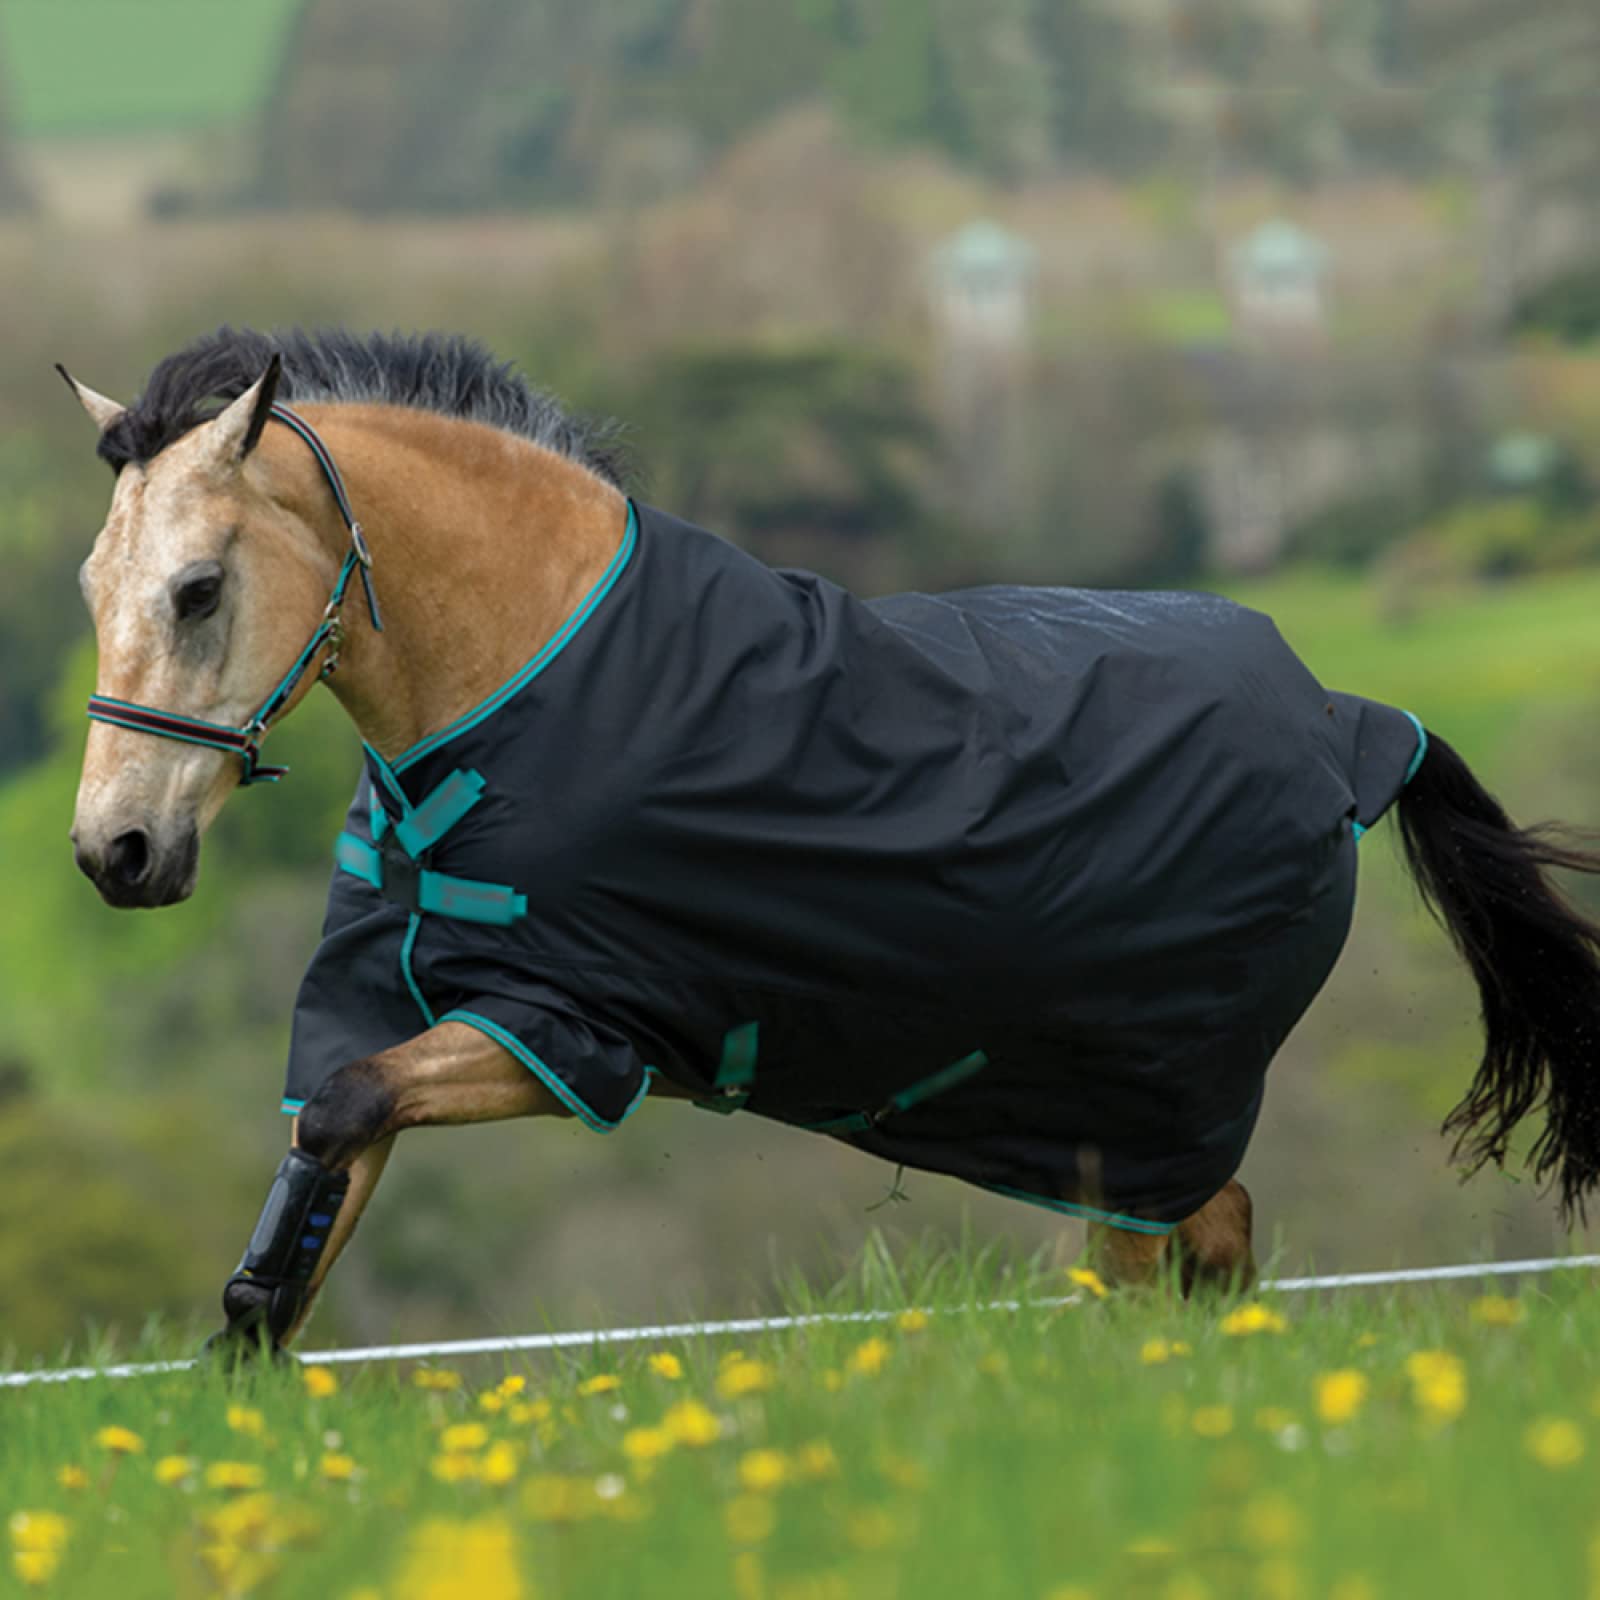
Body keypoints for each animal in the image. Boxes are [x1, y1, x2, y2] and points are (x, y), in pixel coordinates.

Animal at [60, 326, 1600, 1356]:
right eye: (90, 585)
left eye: (198, 590)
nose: (113, 851)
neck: (533, 676)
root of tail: (1354, 725)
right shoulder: (401, 1011)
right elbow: (320, 1175)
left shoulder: (569, 1028)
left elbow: (344, 1117)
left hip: (1155, 1108)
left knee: (1194, 1256)